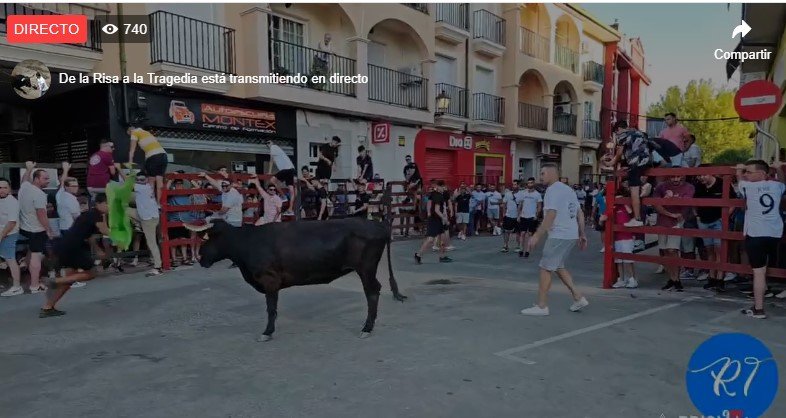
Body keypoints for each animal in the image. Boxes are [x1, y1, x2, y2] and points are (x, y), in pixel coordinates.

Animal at [184, 217, 404, 342]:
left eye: (207, 238)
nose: (200, 258)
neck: (248, 243)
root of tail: (378, 223)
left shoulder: (269, 280)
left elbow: (271, 308)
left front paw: (267, 332)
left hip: (366, 268)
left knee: (372, 291)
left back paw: (366, 328)